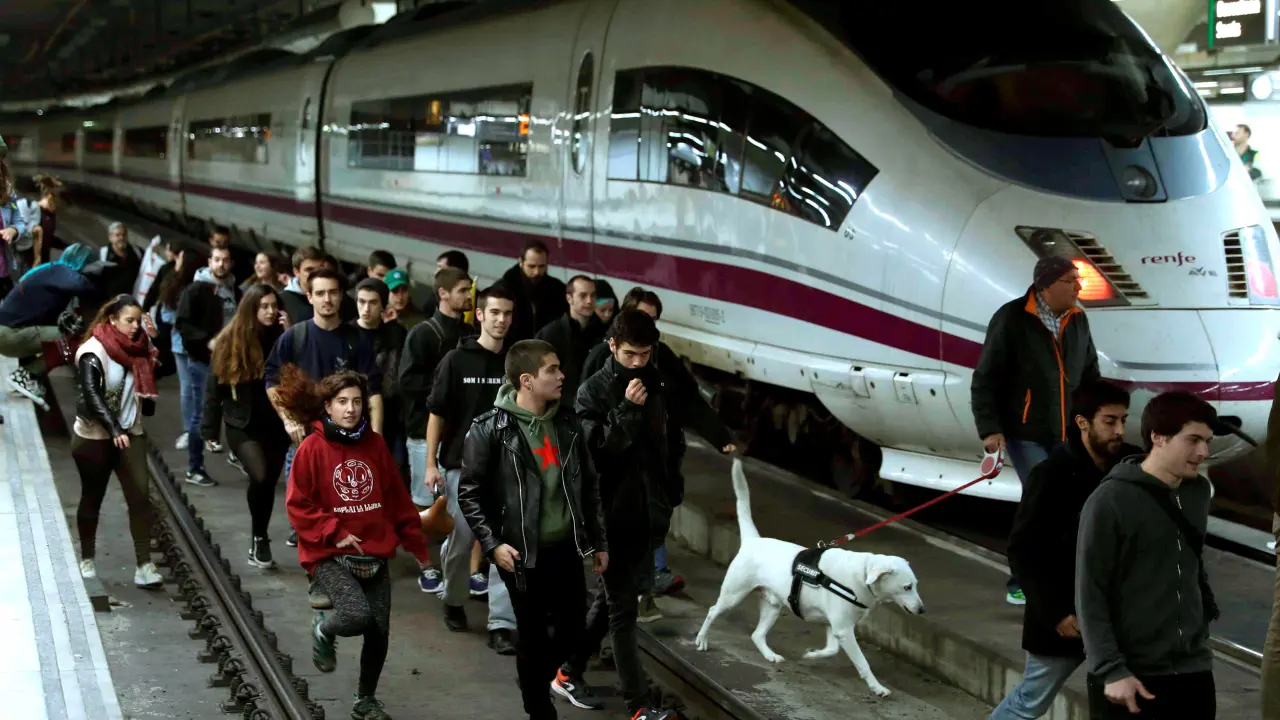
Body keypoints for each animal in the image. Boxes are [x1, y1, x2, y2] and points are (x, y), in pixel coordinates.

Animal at [693, 459, 925, 697]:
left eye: (915, 585)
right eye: (907, 587)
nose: (921, 609)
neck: (862, 575)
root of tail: (753, 540)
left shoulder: (835, 627)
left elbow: (831, 649)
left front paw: (812, 654)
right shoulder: (843, 629)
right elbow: (862, 662)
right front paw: (877, 687)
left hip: (772, 606)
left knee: (757, 634)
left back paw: (770, 655)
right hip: (734, 595)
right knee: (713, 611)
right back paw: (702, 639)